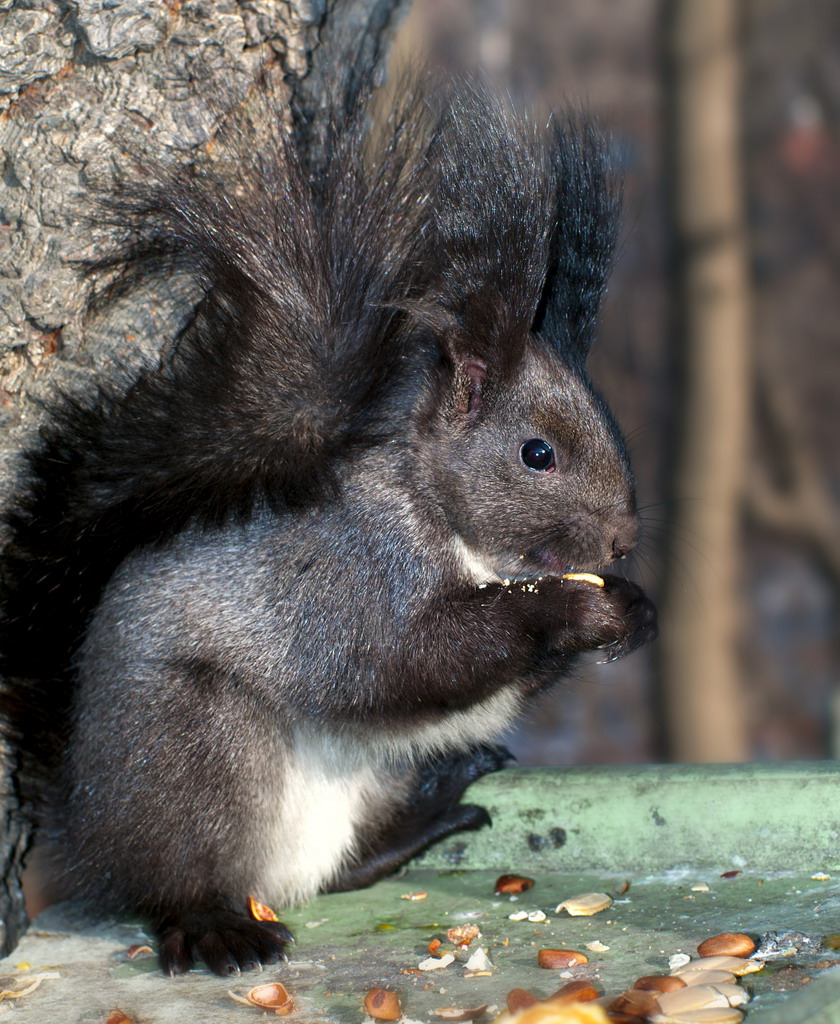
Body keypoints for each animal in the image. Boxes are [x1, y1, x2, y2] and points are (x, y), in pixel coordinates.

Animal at [0, 77, 655, 974]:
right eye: (537, 454)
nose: (624, 540)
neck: (455, 530)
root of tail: (86, 817)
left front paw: (636, 609)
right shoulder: (351, 575)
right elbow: (404, 661)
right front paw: (576, 608)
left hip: (371, 773)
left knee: (343, 866)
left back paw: (427, 816)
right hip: (195, 751)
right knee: (173, 881)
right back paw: (213, 924)